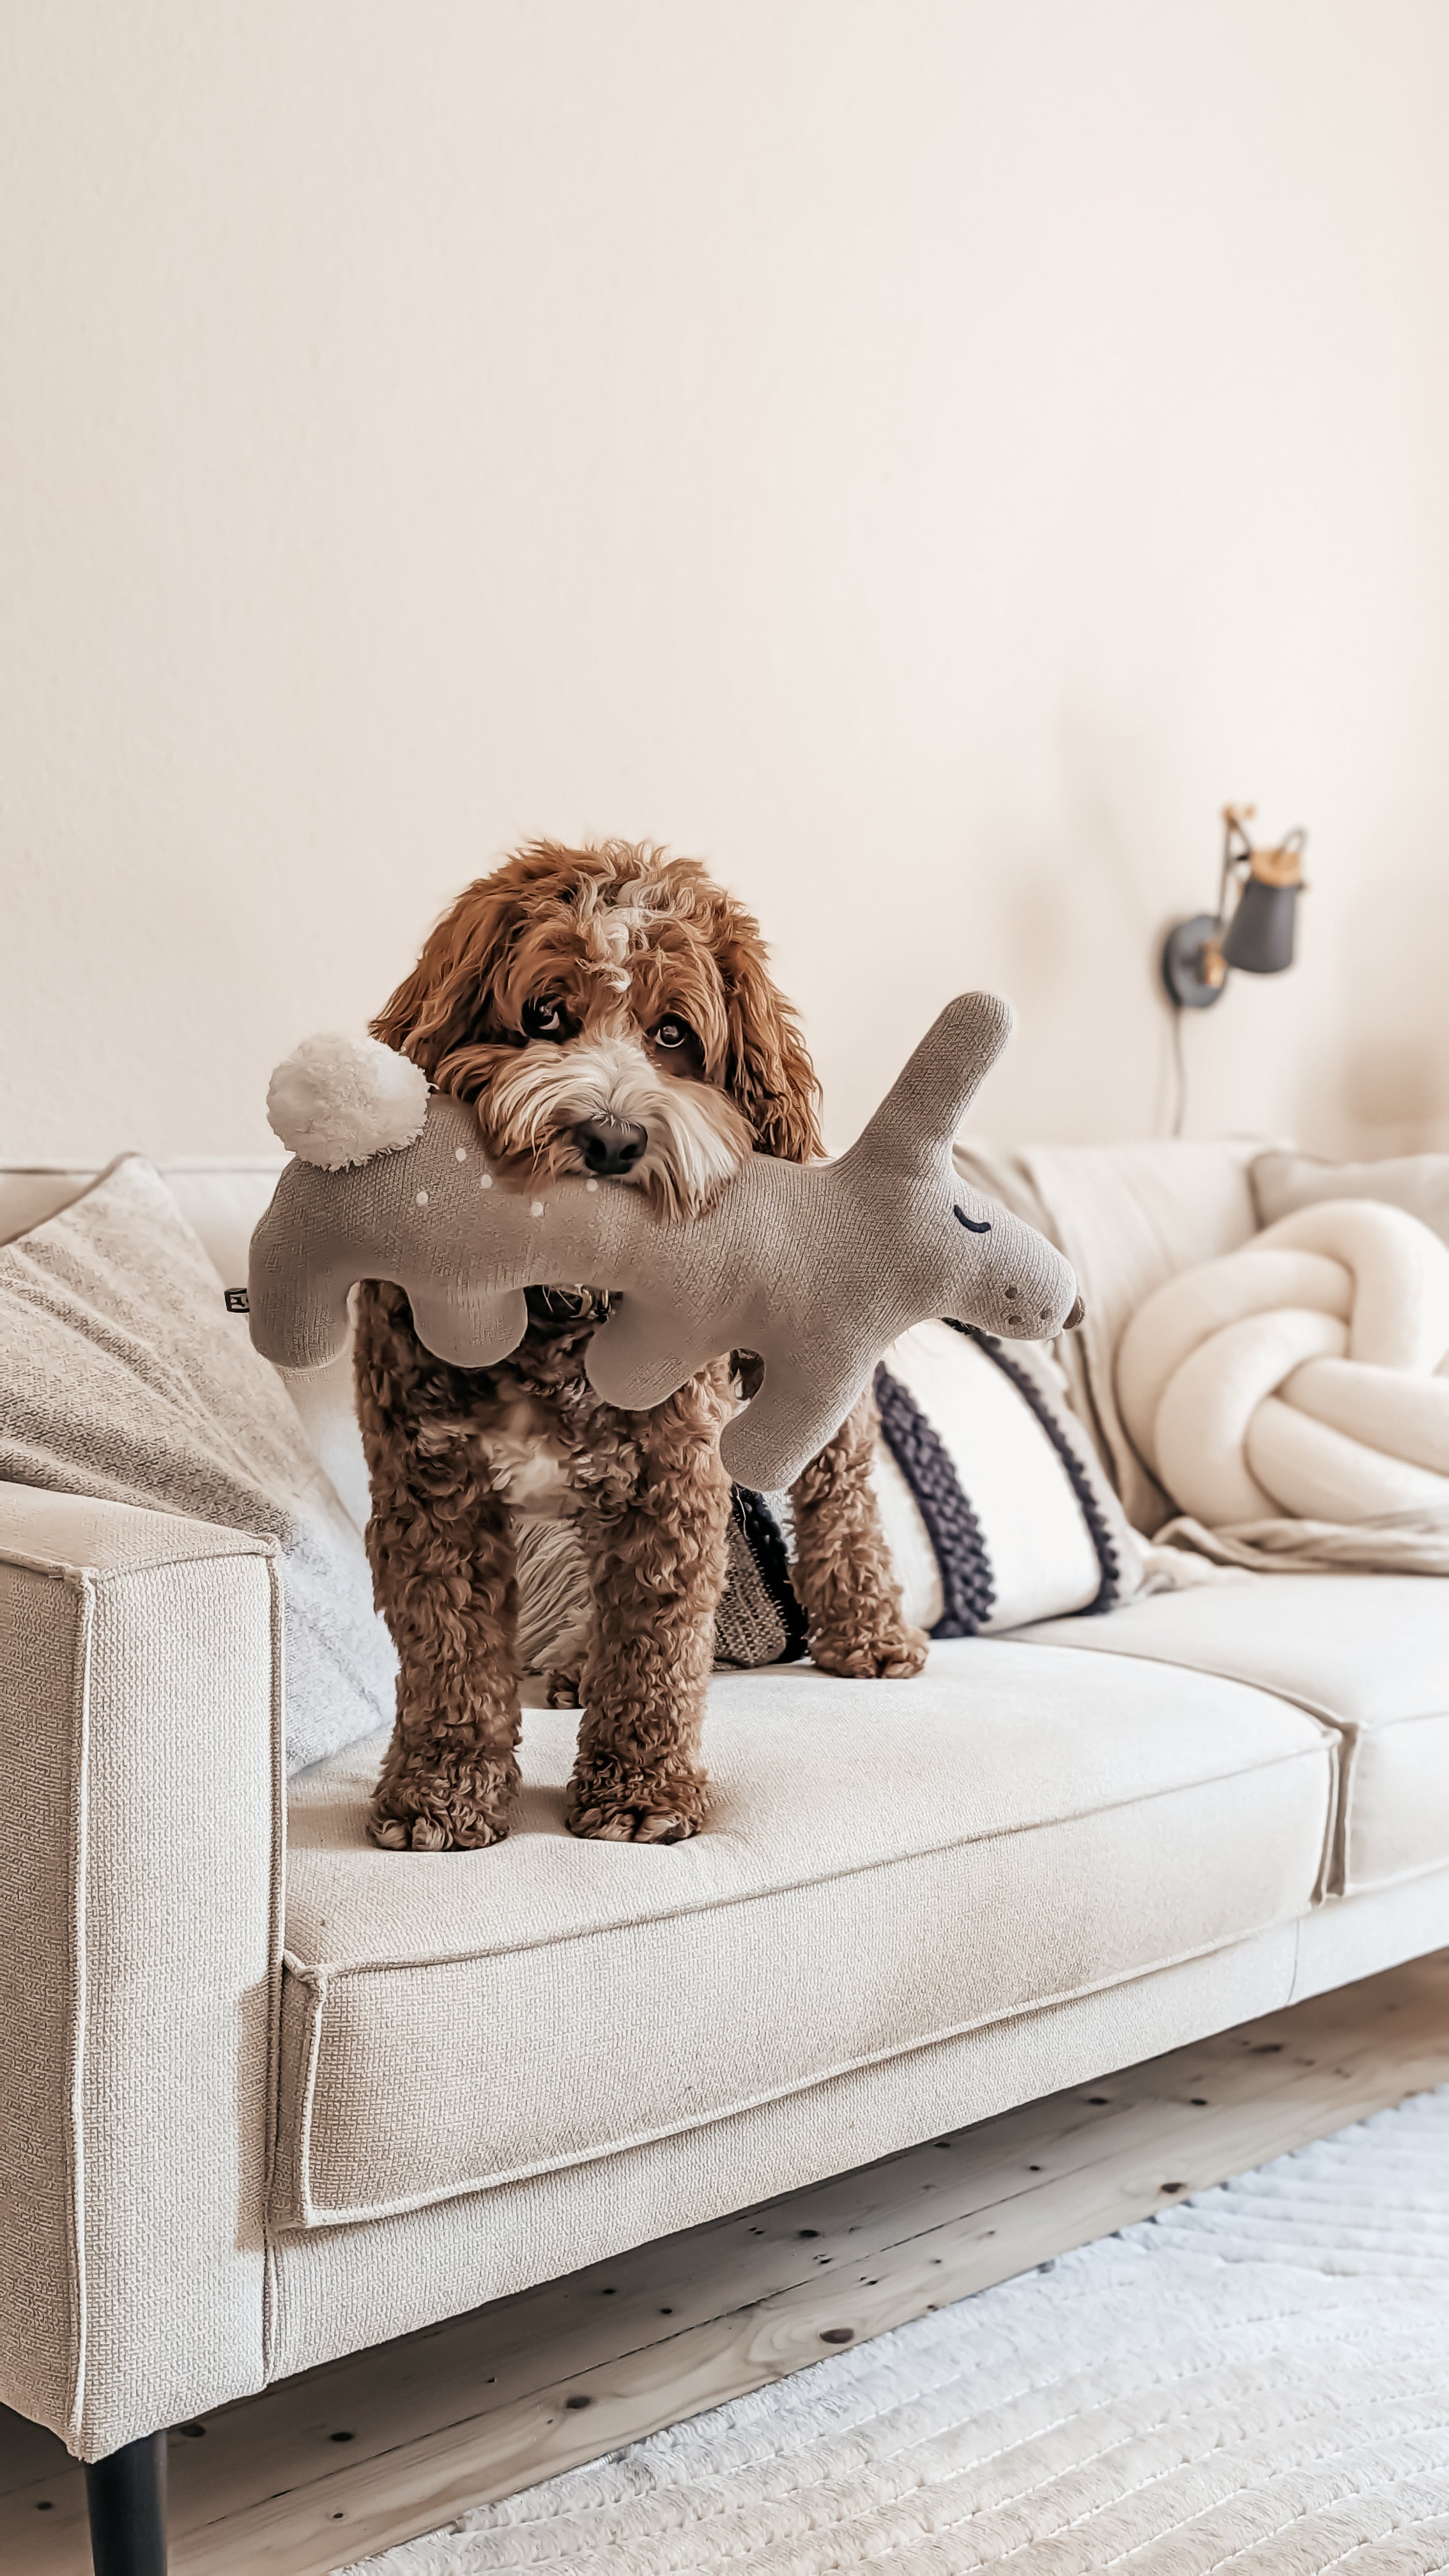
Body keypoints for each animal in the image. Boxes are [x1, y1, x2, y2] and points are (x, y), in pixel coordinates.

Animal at [355, 845, 923, 1855]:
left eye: (673, 1034)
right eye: (545, 1015)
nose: (613, 1136)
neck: (565, 1302)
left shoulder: (668, 1472)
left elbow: (658, 1644)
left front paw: (639, 1789)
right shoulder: (431, 1486)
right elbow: (448, 1649)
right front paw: (440, 1794)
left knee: (843, 1494)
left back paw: (871, 1632)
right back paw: (579, 1663)